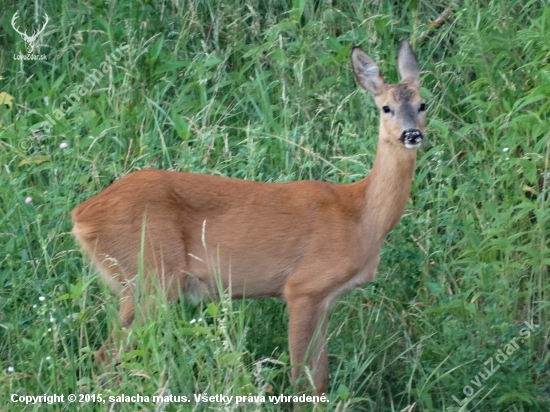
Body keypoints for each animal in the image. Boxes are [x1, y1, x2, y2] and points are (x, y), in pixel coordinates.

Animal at [72, 40, 426, 394]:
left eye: (423, 104)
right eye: (386, 108)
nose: (411, 135)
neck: (360, 216)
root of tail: (81, 216)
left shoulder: (326, 299)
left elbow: (320, 378)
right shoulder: (304, 287)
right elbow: (303, 379)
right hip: (151, 276)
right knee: (107, 355)